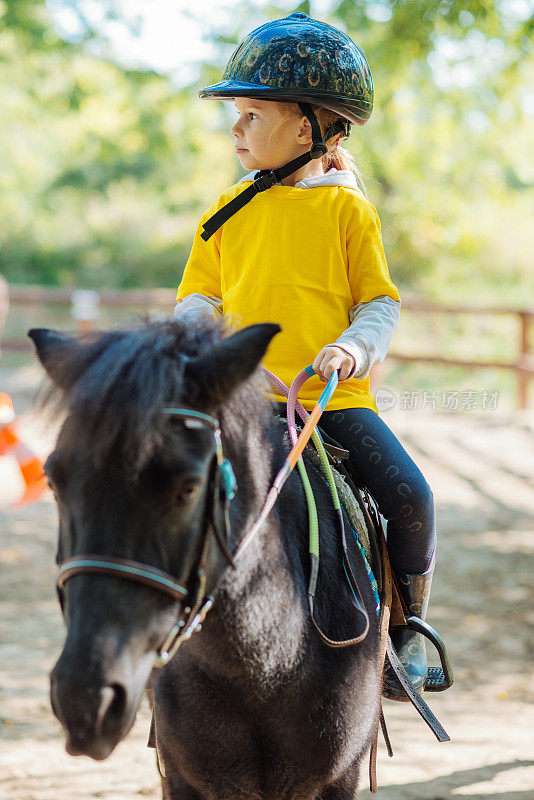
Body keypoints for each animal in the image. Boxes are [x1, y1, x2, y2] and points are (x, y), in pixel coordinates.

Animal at [29, 316, 384, 800]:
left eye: (189, 488)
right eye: (53, 480)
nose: (86, 700)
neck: (269, 666)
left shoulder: (339, 779)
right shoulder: (181, 779)